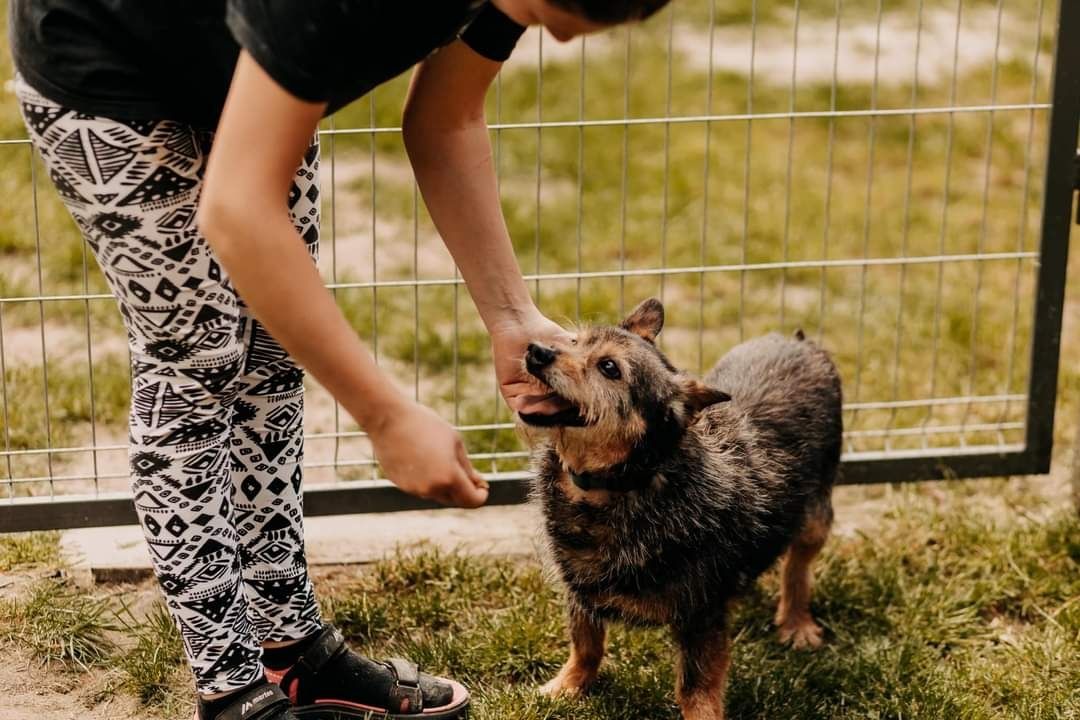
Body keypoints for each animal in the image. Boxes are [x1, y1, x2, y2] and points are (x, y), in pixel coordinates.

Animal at [516, 297, 842, 720]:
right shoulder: (581, 590)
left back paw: (796, 622)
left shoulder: (701, 613)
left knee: (798, 566)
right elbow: (586, 645)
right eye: (573, 340)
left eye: (609, 368)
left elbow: (695, 685)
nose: (537, 351)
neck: (620, 486)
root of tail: (799, 341)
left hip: (816, 513)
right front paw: (566, 687)